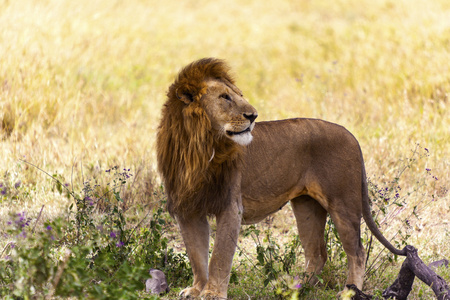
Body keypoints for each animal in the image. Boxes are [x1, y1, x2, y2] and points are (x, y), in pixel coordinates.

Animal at [156, 57, 406, 298]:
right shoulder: (188, 208)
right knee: (317, 253)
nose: (253, 116)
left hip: (343, 203)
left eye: (239, 95)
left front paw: (212, 294)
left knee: (357, 252)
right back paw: (296, 288)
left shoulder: (230, 206)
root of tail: (351, 135)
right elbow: (196, 255)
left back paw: (349, 291)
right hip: (307, 206)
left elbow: (219, 256)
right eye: (224, 97)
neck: (197, 148)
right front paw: (196, 289)